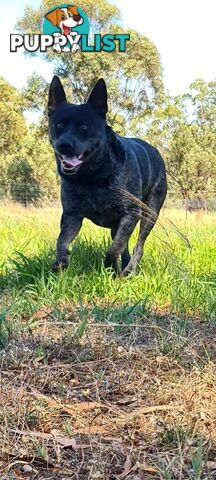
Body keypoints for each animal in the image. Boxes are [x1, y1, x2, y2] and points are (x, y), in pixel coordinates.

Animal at [48, 76, 167, 276]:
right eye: (59, 125)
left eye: (84, 126)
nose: (64, 145)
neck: (93, 178)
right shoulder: (72, 216)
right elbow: (61, 242)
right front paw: (61, 262)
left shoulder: (130, 215)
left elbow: (114, 249)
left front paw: (111, 267)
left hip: (150, 213)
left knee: (138, 245)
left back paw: (128, 270)